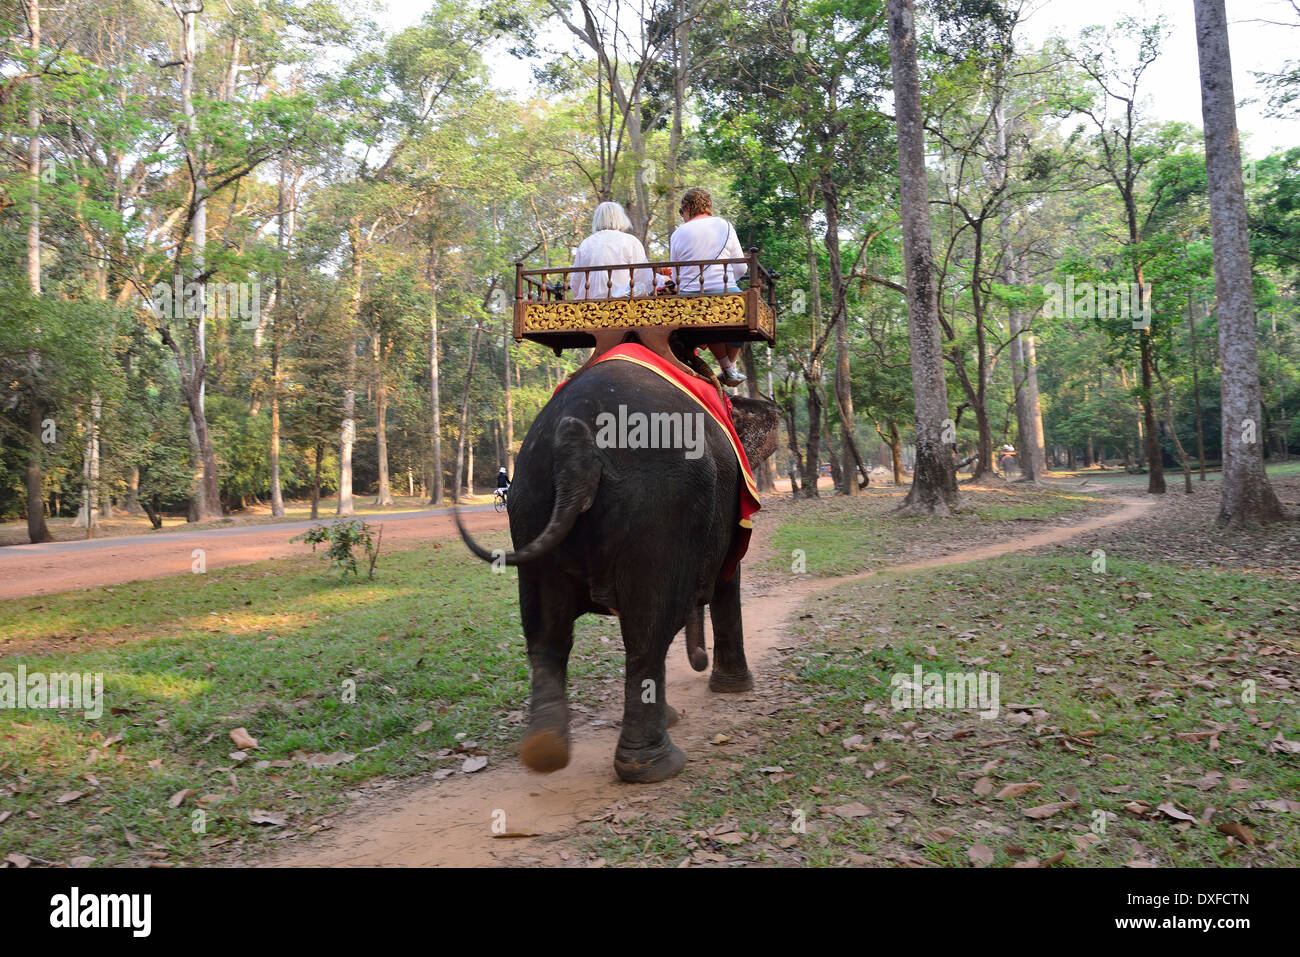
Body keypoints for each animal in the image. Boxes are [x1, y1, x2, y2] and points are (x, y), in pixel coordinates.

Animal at [457, 355, 779, 783]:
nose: (700, 659)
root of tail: (575, 439)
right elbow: (728, 577)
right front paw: (735, 690)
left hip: (530, 500)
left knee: (548, 634)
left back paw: (544, 752)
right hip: (659, 504)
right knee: (648, 630)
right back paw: (654, 767)